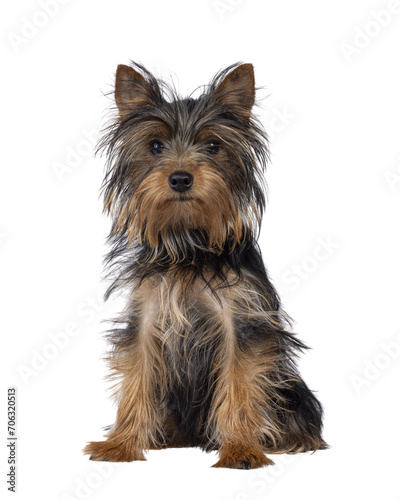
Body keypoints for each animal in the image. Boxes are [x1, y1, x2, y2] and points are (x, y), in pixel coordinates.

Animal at [83, 61, 326, 468]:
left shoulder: (240, 320)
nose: (180, 177)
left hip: (291, 391)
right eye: (155, 146)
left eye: (213, 146)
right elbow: (136, 378)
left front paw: (242, 449)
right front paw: (120, 444)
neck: (188, 243)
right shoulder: (147, 315)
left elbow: (239, 381)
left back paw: (285, 438)